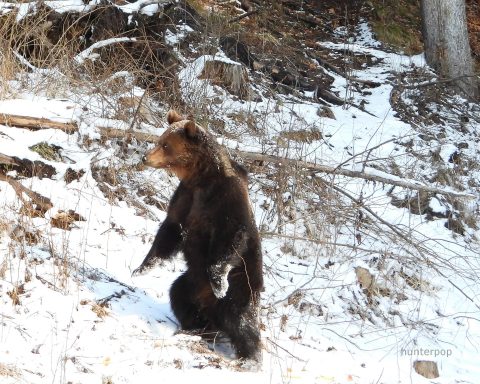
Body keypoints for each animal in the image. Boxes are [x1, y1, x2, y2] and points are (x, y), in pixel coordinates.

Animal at [133, 109, 264, 364]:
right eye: (160, 140)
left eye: (165, 144)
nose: (145, 157)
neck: (200, 178)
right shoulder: (185, 198)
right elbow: (169, 231)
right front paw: (142, 268)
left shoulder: (226, 201)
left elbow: (231, 236)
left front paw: (218, 283)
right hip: (190, 282)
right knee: (178, 296)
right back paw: (194, 328)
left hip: (242, 285)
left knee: (241, 320)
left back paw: (249, 357)